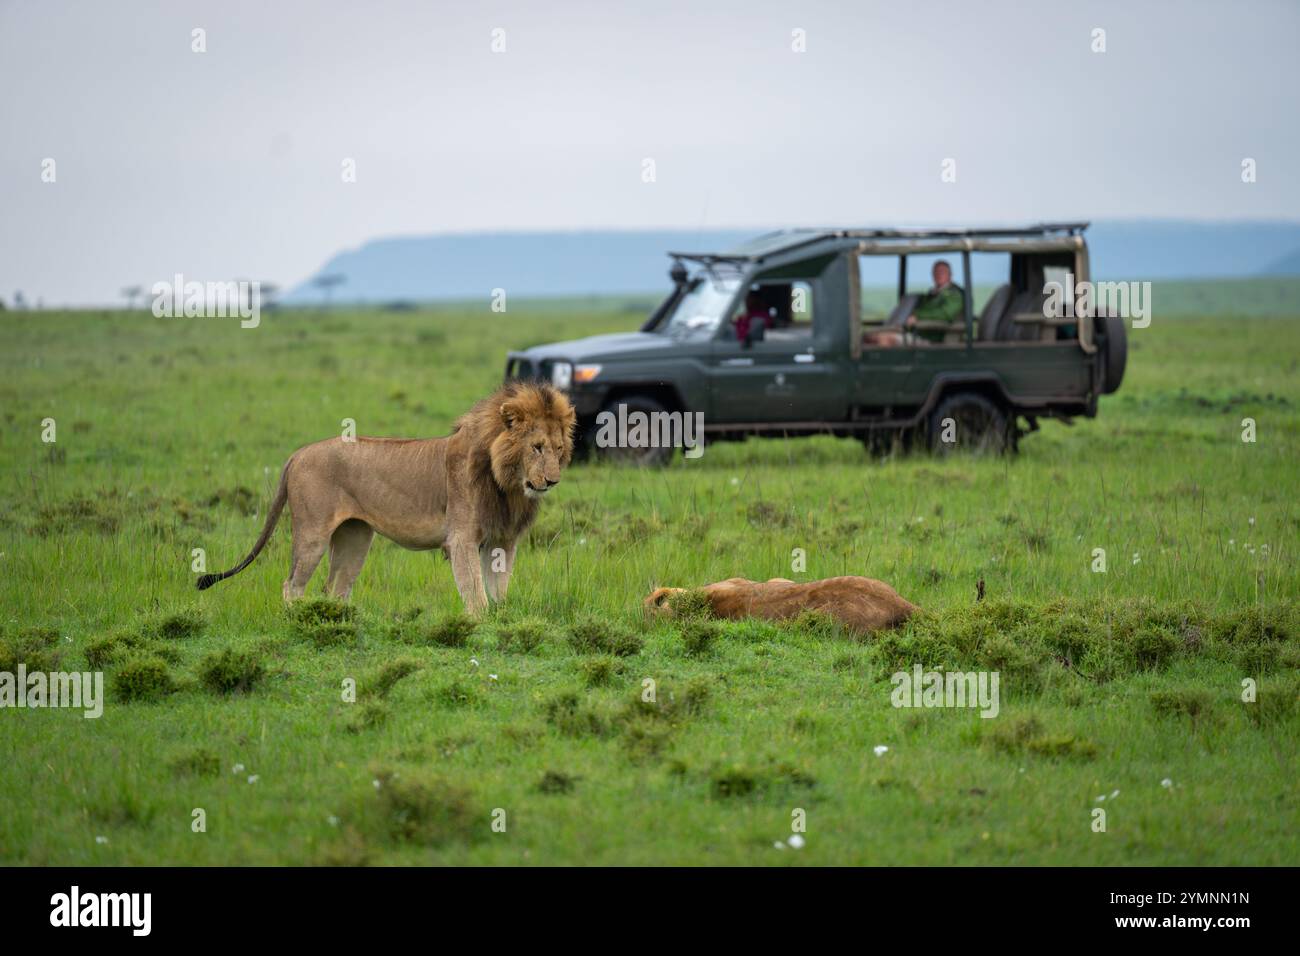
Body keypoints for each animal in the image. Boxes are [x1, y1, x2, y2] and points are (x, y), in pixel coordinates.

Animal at [196, 382, 574, 613]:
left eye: (558, 449)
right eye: (536, 447)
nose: (553, 480)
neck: (506, 483)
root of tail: (298, 453)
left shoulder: (502, 541)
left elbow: (499, 592)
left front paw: (500, 618)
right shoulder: (462, 537)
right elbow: (475, 593)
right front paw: (480, 625)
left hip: (354, 537)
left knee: (335, 588)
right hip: (312, 533)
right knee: (292, 585)